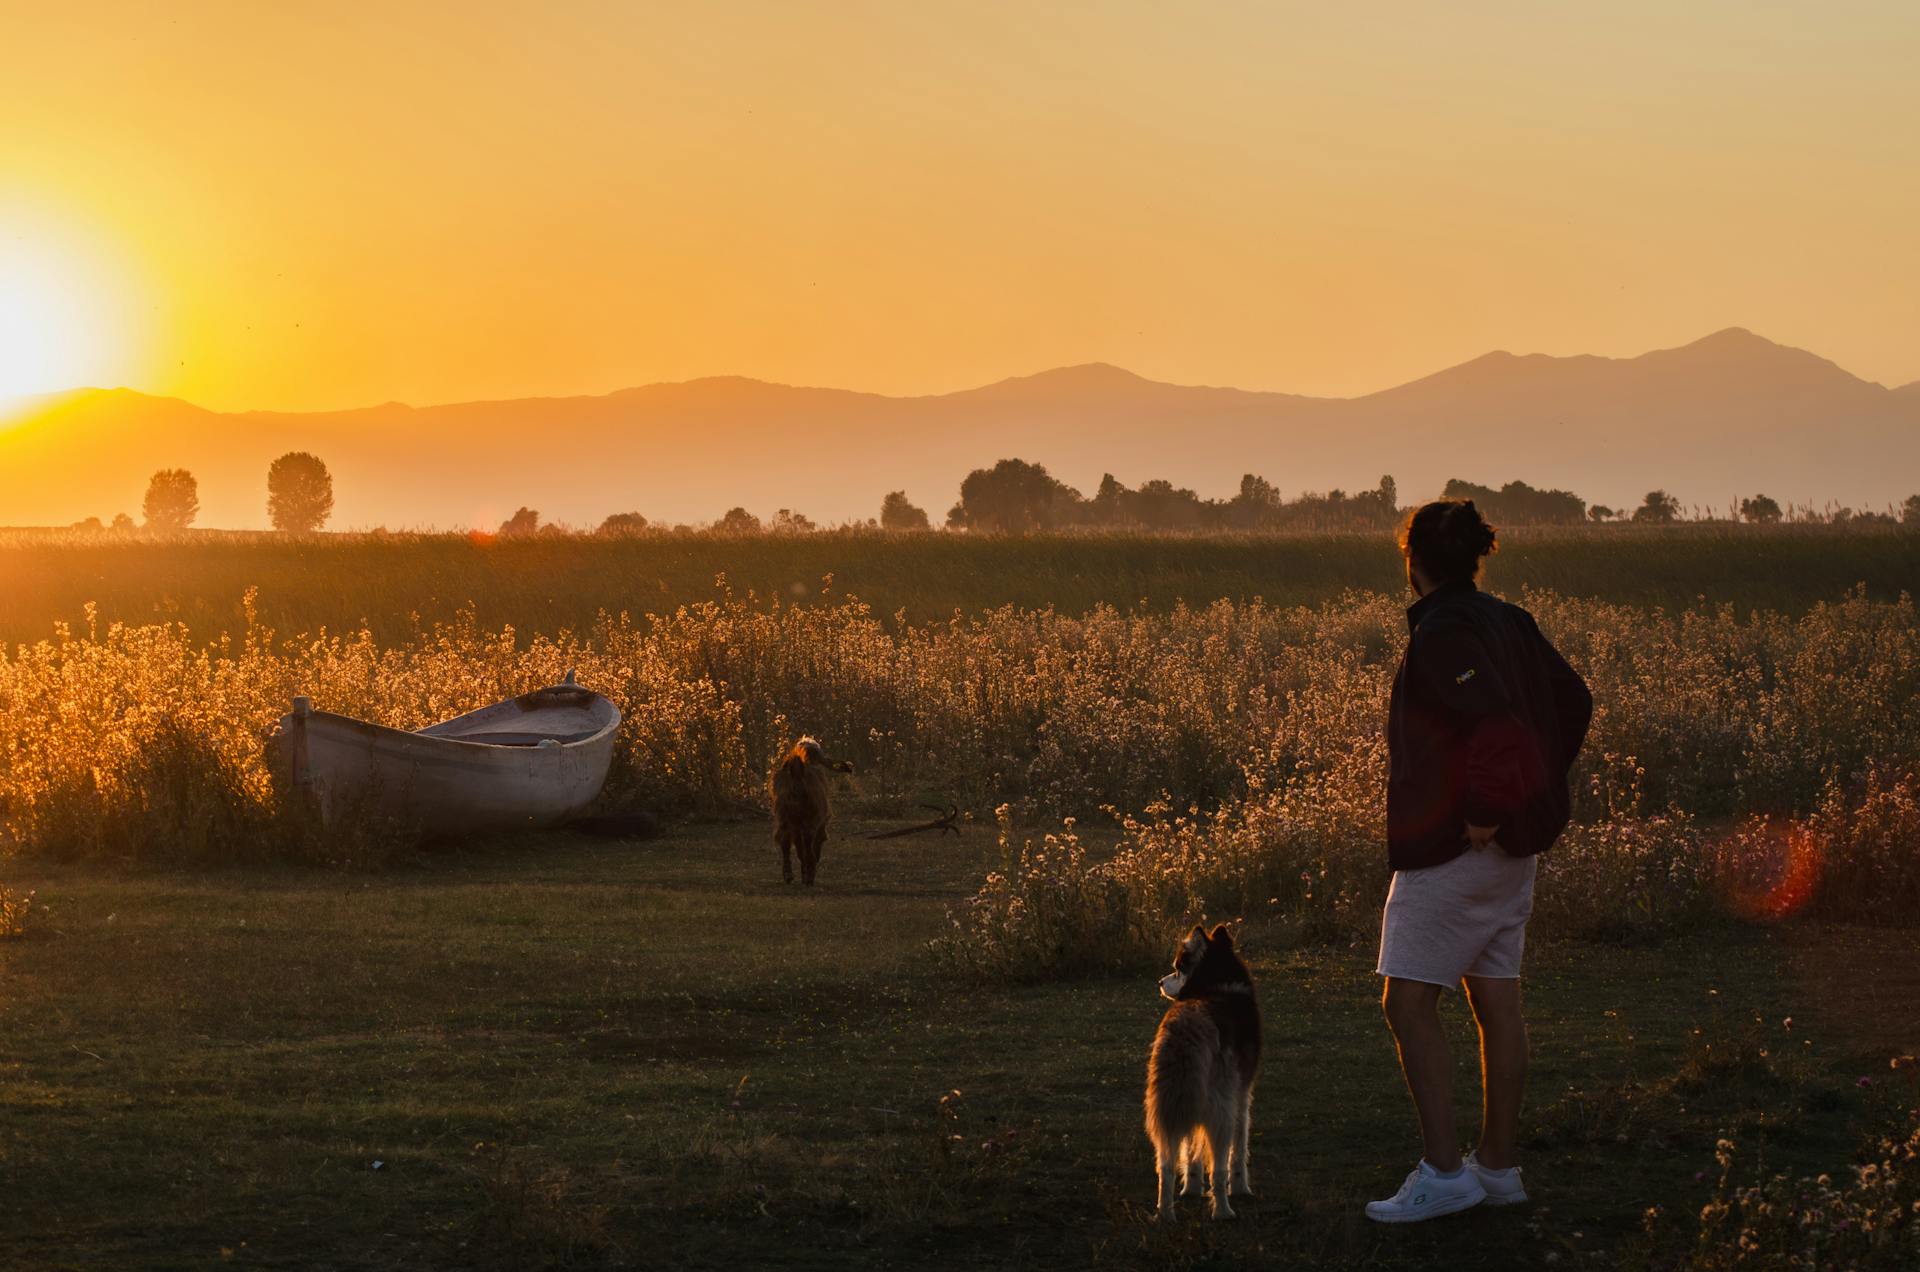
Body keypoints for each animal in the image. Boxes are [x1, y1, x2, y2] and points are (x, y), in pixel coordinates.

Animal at [768, 737, 852, 887]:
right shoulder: (821, 824)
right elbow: (815, 846)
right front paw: (808, 873)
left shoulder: (796, 826)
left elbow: (799, 849)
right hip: (810, 821)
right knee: (808, 846)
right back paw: (809, 876)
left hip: (784, 817)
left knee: (785, 841)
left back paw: (789, 875)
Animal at [1136, 926, 1259, 1229]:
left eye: (1178, 968)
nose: (1159, 982)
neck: (1216, 986)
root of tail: (1186, 1030)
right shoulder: (1242, 1096)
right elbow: (1238, 1150)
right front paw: (1241, 1188)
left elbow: (1191, 1151)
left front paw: (1191, 1188)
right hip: (1221, 1109)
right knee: (1219, 1167)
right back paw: (1224, 1211)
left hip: (1164, 1108)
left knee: (1165, 1165)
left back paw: (1165, 1214)